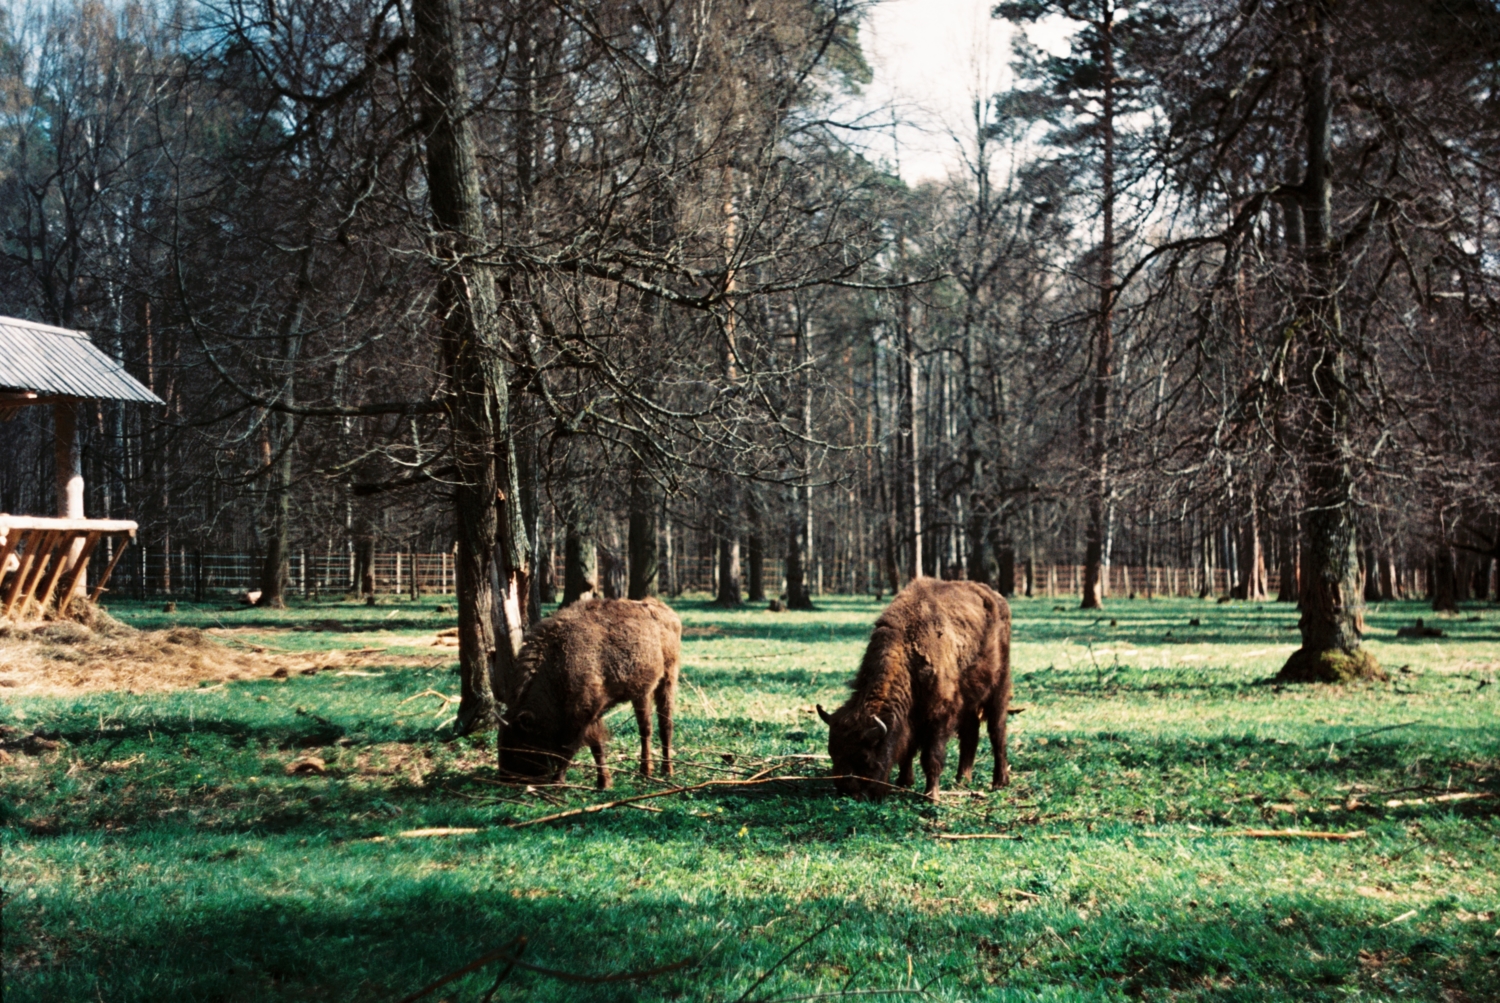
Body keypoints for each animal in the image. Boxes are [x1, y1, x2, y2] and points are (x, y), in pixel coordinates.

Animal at [498, 599, 681, 785]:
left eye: (518, 744)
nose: (505, 777)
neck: (557, 661)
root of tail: (664, 609)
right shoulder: (593, 713)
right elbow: (596, 747)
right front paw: (604, 783)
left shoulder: (582, 714)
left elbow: (569, 749)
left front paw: (557, 781)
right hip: (641, 692)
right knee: (646, 728)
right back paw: (647, 771)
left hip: (668, 678)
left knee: (664, 725)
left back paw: (665, 770)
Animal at [816, 578, 1014, 797]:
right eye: (832, 752)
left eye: (864, 757)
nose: (849, 791)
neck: (907, 648)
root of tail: (996, 596)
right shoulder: (912, 717)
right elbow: (908, 749)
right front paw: (904, 782)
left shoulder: (939, 715)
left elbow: (931, 756)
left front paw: (931, 796)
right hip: (968, 699)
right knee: (970, 733)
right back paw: (962, 780)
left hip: (999, 688)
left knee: (997, 732)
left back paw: (999, 781)